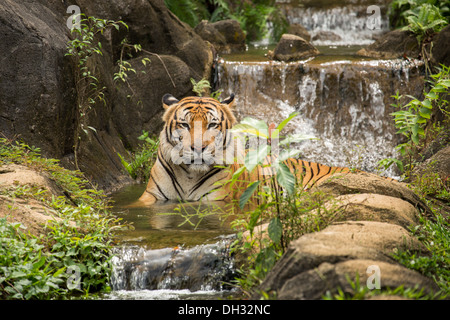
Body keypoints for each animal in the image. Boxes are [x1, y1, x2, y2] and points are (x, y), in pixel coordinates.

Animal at [137, 94, 356, 206]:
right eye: (184, 124)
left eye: (212, 125)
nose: (198, 148)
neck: (189, 175)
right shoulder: (151, 196)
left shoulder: (216, 199)